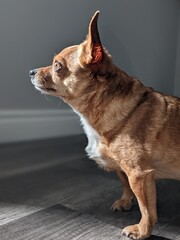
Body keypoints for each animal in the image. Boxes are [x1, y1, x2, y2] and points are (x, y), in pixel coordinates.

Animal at [29, 11, 180, 240]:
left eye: (58, 67)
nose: (31, 72)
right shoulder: (124, 170)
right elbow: (125, 183)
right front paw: (125, 201)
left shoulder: (139, 174)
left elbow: (147, 209)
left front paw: (142, 230)